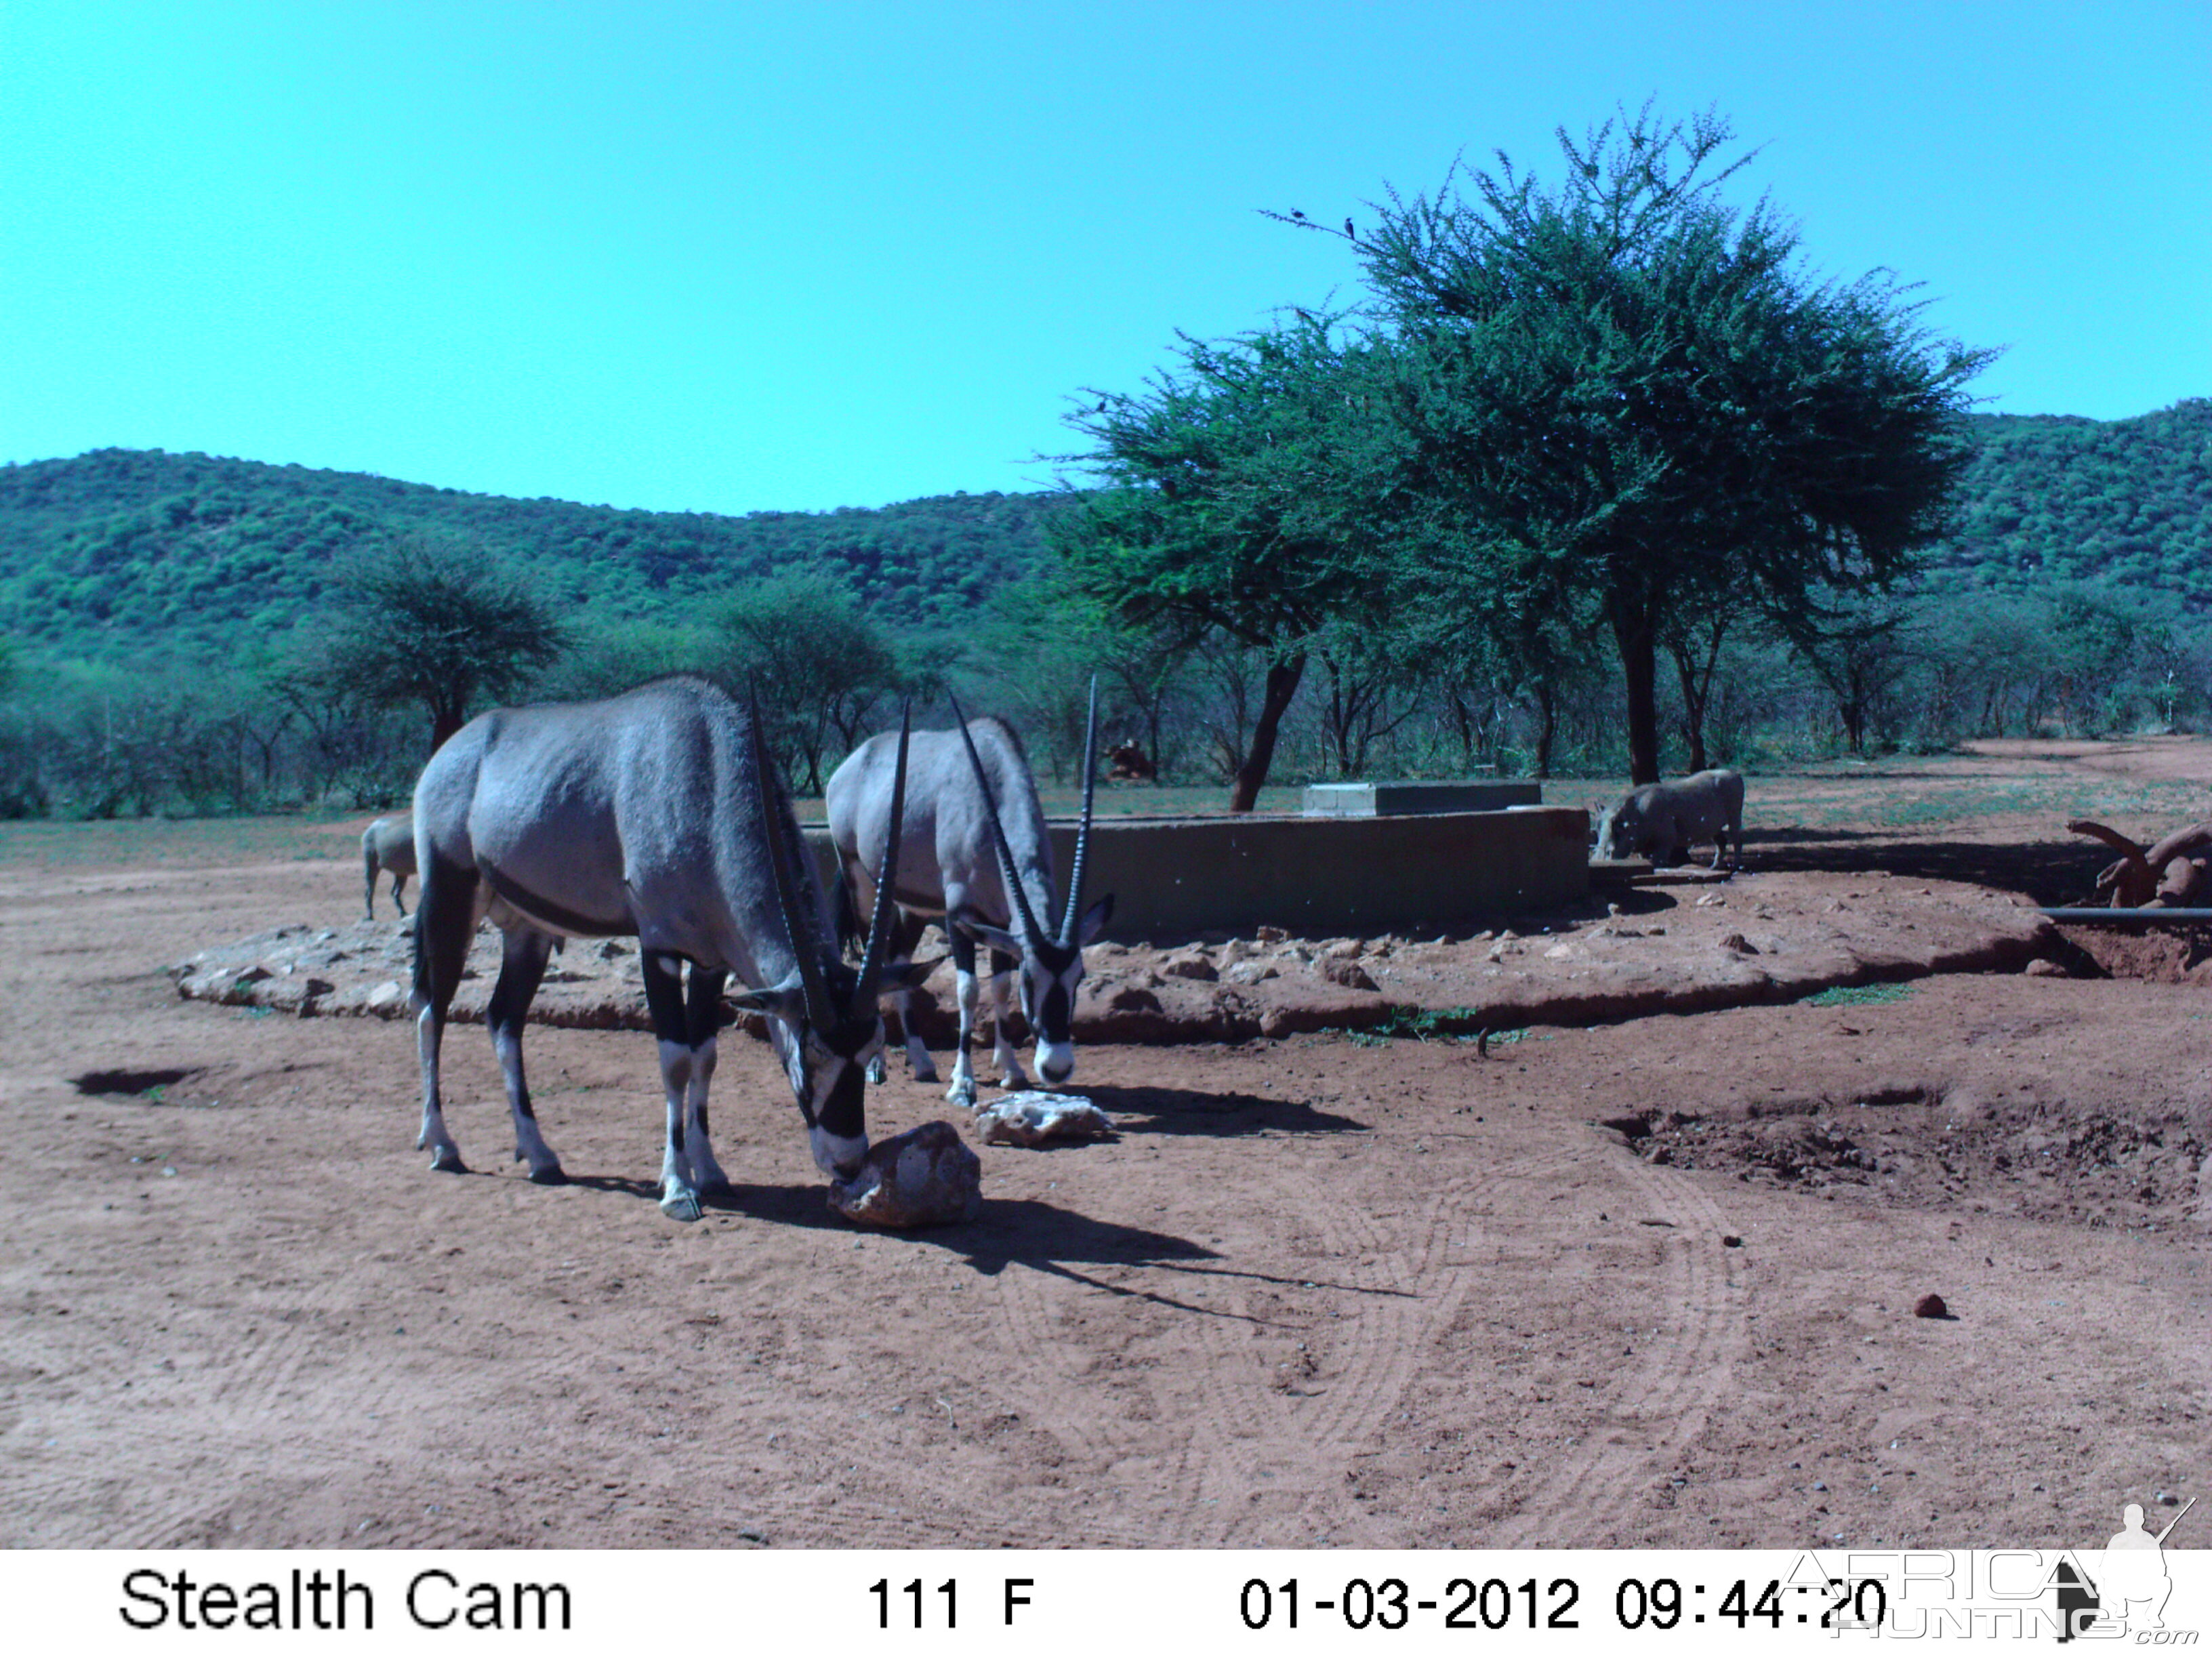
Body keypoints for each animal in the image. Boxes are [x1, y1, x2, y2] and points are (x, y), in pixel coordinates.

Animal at [407, 672, 924, 1221]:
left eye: (873, 1051)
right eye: (812, 1055)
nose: (848, 1163)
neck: (709, 775)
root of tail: (452, 750)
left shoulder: (711, 963)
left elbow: (705, 1056)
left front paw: (711, 1171)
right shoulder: (659, 948)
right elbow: (675, 1061)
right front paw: (677, 1188)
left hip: (527, 933)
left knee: (503, 1019)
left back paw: (540, 1155)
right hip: (451, 900)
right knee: (432, 1011)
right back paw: (443, 1146)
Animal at [827, 681, 1115, 1110]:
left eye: (1079, 977)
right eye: (1031, 980)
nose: (1057, 1068)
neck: (994, 793)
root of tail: (851, 764)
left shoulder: (1000, 923)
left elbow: (998, 988)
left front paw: (1011, 1069)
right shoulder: (958, 915)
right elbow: (969, 990)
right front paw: (963, 1084)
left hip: (912, 906)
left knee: (898, 960)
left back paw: (921, 1060)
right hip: (861, 882)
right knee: (873, 961)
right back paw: (878, 1064)